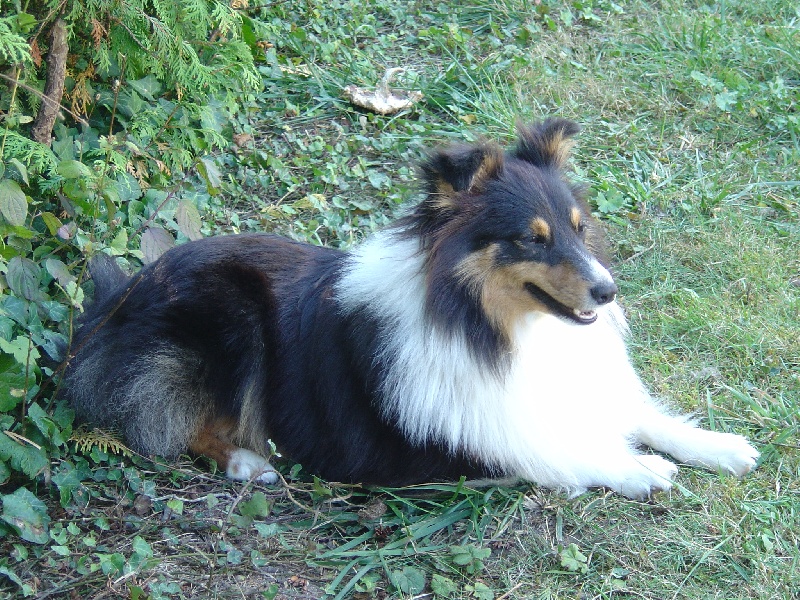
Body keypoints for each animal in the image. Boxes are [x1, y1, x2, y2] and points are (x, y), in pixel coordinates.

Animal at [62, 119, 756, 500]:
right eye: (533, 239)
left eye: (579, 229)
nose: (608, 292)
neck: (494, 328)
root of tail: (114, 303)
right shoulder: (460, 450)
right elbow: (557, 451)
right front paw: (639, 468)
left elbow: (639, 412)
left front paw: (720, 446)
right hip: (227, 313)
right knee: (176, 425)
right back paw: (247, 461)